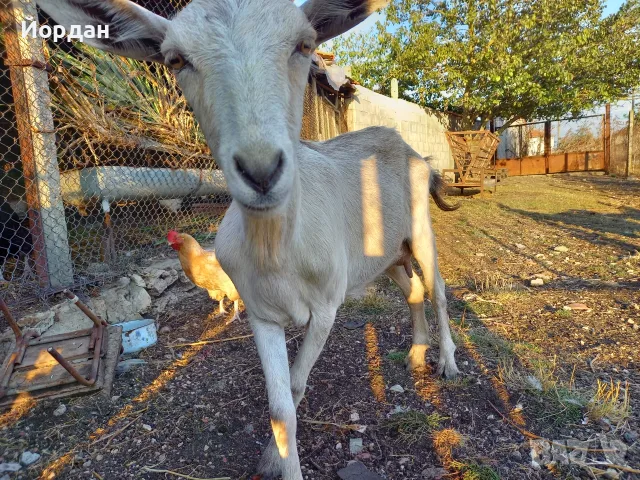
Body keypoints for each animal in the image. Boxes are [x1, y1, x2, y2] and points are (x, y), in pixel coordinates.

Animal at [36, 1, 461, 478]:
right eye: (175, 60)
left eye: (305, 44)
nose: (261, 170)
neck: (278, 254)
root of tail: (411, 149)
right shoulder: (261, 313)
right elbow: (280, 407)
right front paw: (275, 458)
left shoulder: (326, 307)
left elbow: (295, 386)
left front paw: (276, 458)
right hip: (384, 256)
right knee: (413, 290)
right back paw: (415, 354)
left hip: (420, 231)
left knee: (438, 291)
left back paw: (447, 362)